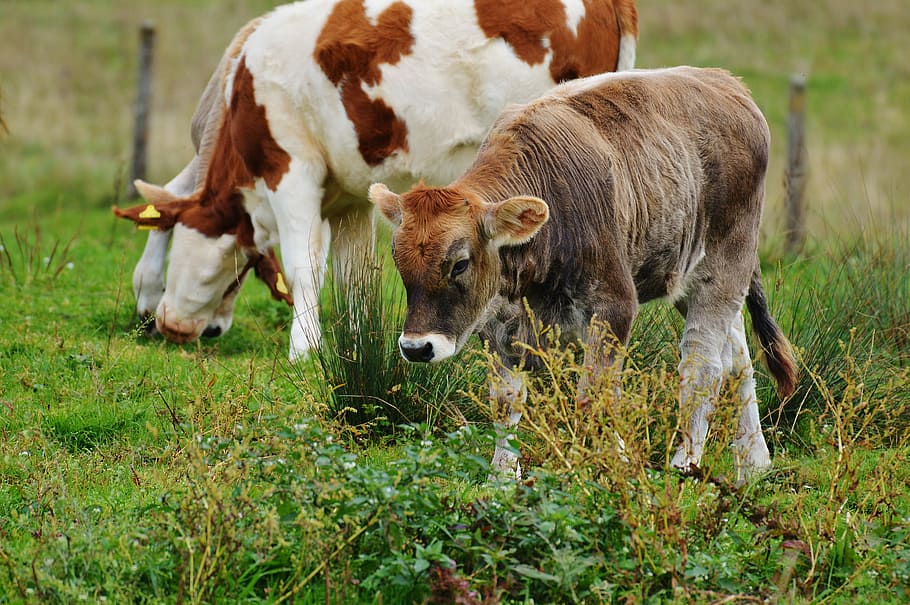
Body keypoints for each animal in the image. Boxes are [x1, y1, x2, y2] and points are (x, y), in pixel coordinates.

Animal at [114, 0, 638, 360]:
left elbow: (305, 266)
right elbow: (353, 279)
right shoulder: (350, 198)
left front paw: (303, 350)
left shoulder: (291, 170)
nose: (172, 327)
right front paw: (353, 343)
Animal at [368, 66, 797, 481]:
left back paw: (685, 463)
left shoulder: (613, 305)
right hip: (692, 279)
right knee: (737, 360)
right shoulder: (496, 324)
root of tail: (726, 81)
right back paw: (753, 463)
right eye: (398, 260)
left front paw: (614, 466)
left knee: (703, 363)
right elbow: (505, 403)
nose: (416, 348)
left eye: (460, 263)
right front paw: (501, 478)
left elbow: (595, 396)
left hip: (725, 265)